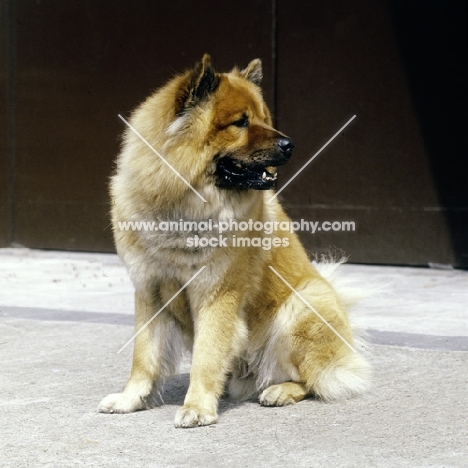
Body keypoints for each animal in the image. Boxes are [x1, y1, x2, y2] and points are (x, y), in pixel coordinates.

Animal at [98, 54, 370, 428]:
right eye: (241, 123)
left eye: (264, 119)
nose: (289, 144)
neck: (184, 205)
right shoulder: (149, 291)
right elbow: (144, 356)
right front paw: (130, 399)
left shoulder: (216, 293)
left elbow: (207, 355)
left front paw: (197, 407)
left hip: (300, 306)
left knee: (311, 379)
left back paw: (279, 391)